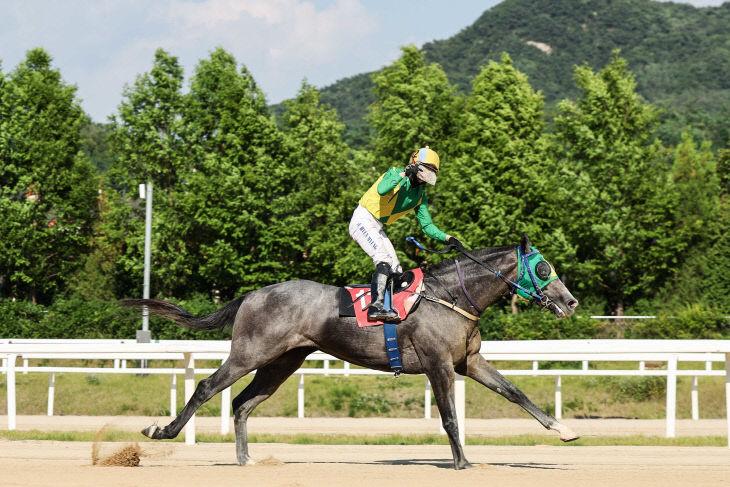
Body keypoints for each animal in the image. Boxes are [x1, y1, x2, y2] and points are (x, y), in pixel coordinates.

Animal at [126, 236, 580, 468]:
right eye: (544, 269)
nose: (571, 302)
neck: (450, 297)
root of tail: (253, 295)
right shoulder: (438, 364)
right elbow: (450, 417)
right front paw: (463, 464)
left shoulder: (468, 362)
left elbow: (515, 393)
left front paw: (564, 430)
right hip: (250, 354)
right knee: (207, 387)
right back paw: (161, 431)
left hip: (284, 361)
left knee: (242, 403)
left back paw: (247, 460)